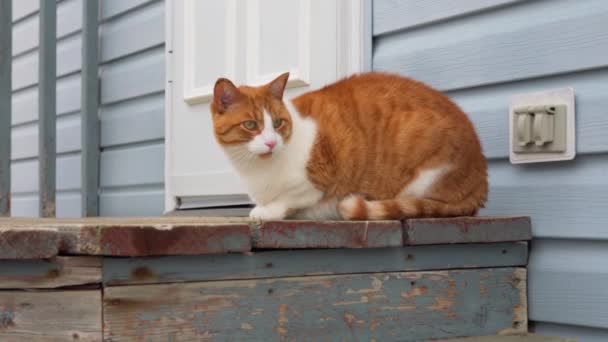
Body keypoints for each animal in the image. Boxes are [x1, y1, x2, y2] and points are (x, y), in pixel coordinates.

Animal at [211, 72, 486, 222]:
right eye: (250, 125)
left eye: (278, 123)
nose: (271, 142)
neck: (257, 170)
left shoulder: (318, 181)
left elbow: (288, 199)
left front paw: (266, 211)